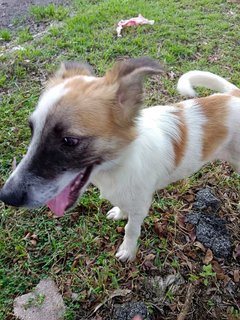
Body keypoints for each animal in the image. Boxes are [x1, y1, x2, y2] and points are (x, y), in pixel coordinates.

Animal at [0, 58, 240, 262]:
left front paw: (127, 251)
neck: (119, 164)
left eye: (69, 141)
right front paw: (119, 213)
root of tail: (234, 94)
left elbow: (131, 230)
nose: (6, 196)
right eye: (32, 130)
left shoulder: (141, 206)